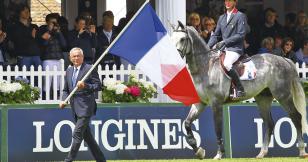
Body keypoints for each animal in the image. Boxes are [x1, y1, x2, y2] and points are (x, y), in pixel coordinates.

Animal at [171, 22, 308, 159]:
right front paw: (199, 151)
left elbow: (218, 129)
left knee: (296, 117)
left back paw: (302, 151)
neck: (206, 67)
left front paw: (219, 154)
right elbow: (187, 123)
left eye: (182, 39)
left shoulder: (216, 103)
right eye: (172, 38)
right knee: (269, 123)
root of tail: (284, 59)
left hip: (283, 96)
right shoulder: (200, 103)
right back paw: (261, 153)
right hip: (263, 98)